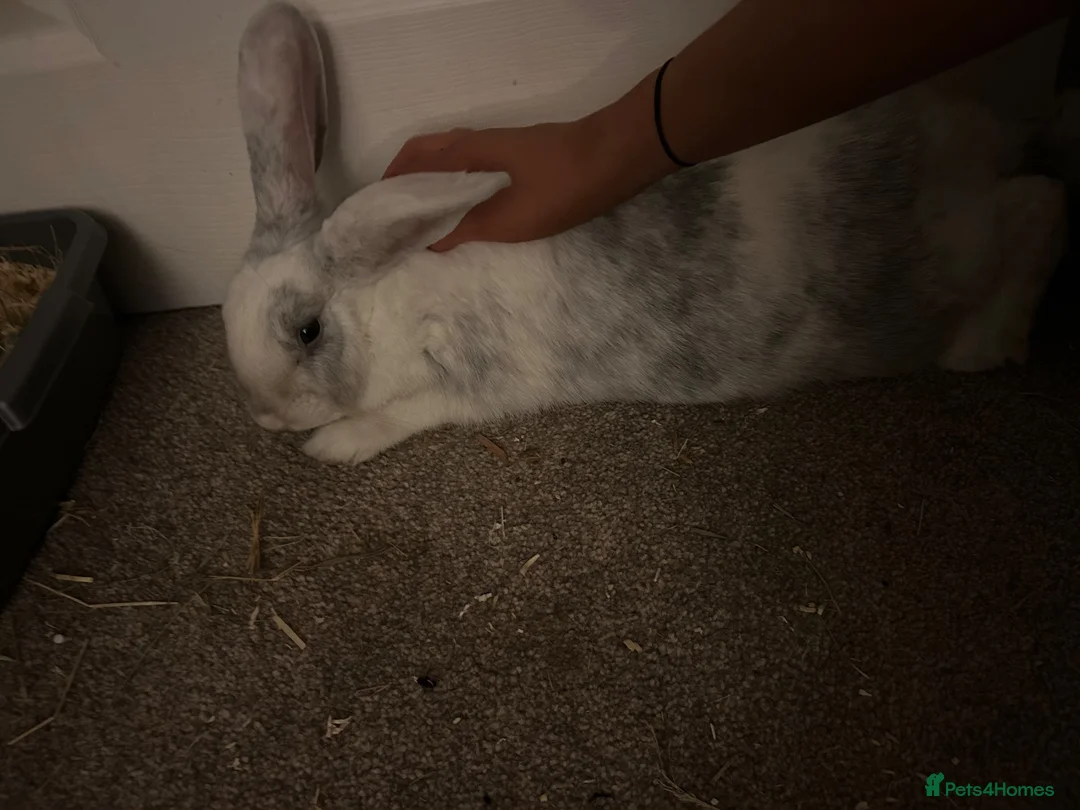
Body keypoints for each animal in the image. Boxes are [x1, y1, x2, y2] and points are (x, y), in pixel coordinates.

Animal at [223, 2, 1070, 465]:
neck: (387, 294)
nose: (264, 420)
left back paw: (992, 342)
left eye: (307, 329)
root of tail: (975, 139)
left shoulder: (480, 379)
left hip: (949, 253)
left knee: (1041, 203)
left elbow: (405, 413)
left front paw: (332, 444)